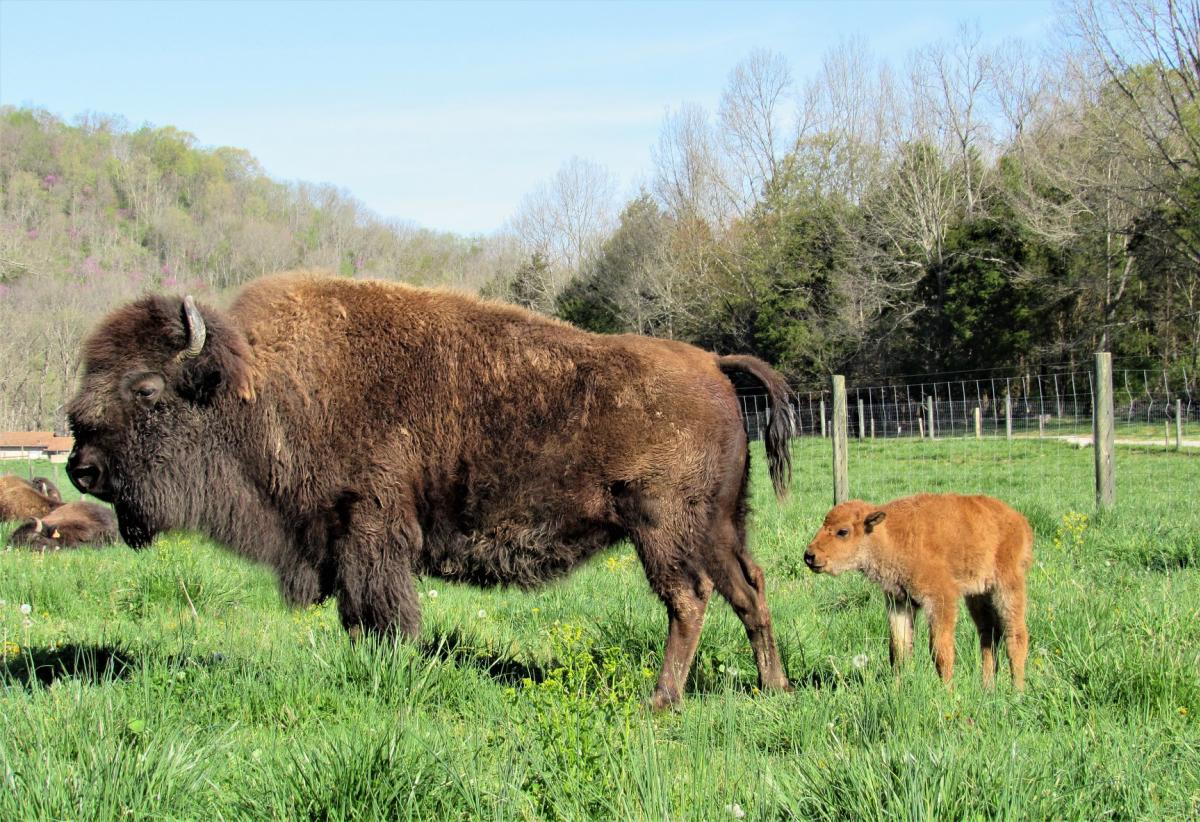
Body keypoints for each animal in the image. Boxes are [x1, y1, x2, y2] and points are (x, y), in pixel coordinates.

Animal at [68, 271, 796, 705]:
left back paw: (661, 700)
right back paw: (775, 687)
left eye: (147, 388)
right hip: (720, 524)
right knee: (749, 590)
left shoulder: (370, 529)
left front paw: (390, 667)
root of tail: (711, 362)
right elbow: (354, 614)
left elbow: (382, 610)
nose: (80, 467)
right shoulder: (343, 541)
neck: (262, 390)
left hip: (663, 528)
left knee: (689, 599)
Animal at [806, 494, 1032, 686]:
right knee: (989, 635)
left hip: (1008, 586)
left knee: (1016, 635)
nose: (809, 555)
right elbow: (898, 650)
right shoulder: (899, 601)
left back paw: (1016, 691)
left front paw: (947, 692)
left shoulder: (940, 598)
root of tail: (1020, 521)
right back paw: (987, 688)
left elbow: (940, 650)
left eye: (843, 531)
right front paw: (896, 691)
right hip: (978, 594)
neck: (890, 535)